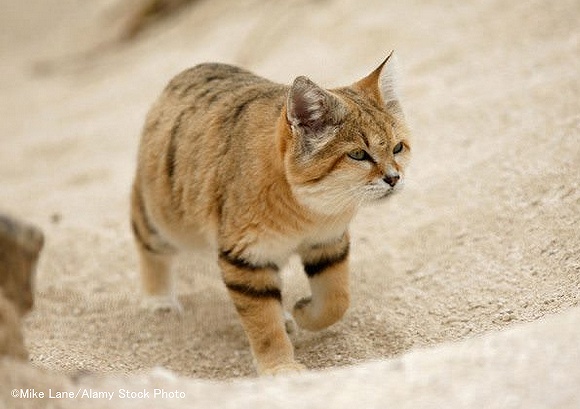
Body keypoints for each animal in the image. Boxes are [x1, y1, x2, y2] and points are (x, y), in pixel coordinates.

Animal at [131, 52, 412, 374]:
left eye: (398, 148)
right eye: (357, 154)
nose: (394, 178)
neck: (305, 211)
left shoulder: (328, 243)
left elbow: (336, 299)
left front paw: (302, 312)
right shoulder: (246, 259)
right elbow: (264, 324)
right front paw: (281, 368)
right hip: (163, 219)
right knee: (148, 245)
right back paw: (158, 299)